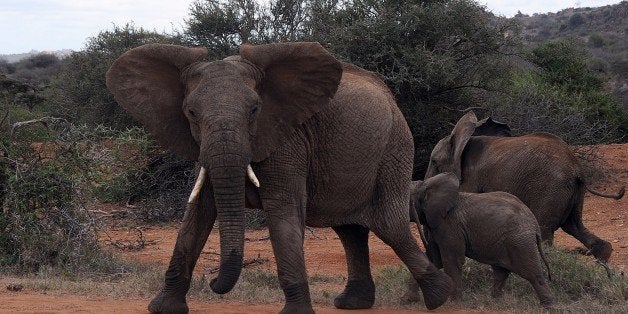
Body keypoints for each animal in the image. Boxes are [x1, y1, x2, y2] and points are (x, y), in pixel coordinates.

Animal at [106, 42, 452, 314]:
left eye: (254, 111)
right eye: (191, 113)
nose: (214, 281)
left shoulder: (288, 139)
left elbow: (282, 210)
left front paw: (296, 312)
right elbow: (198, 212)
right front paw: (162, 307)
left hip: (394, 148)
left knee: (389, 225)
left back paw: (440, 296)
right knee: (350, 230)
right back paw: (353, 303)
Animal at [412, 172, 556, 306]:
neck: (426, 184)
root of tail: (534, 222)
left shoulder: (450, 226)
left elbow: (451, 261)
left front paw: (454, 303)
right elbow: (434, 260)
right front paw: (409, 300)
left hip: (520, 241)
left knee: (531, 272)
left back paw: (548, 306)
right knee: (501, 272)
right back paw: (495, 301)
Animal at [422, 111, 624, 264]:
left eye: (434, 162)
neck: (461, 139)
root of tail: (577, 168)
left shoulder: (471, 179)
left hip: (550, 188)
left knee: (545, 231)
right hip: (569, 192)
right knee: (574, 226)